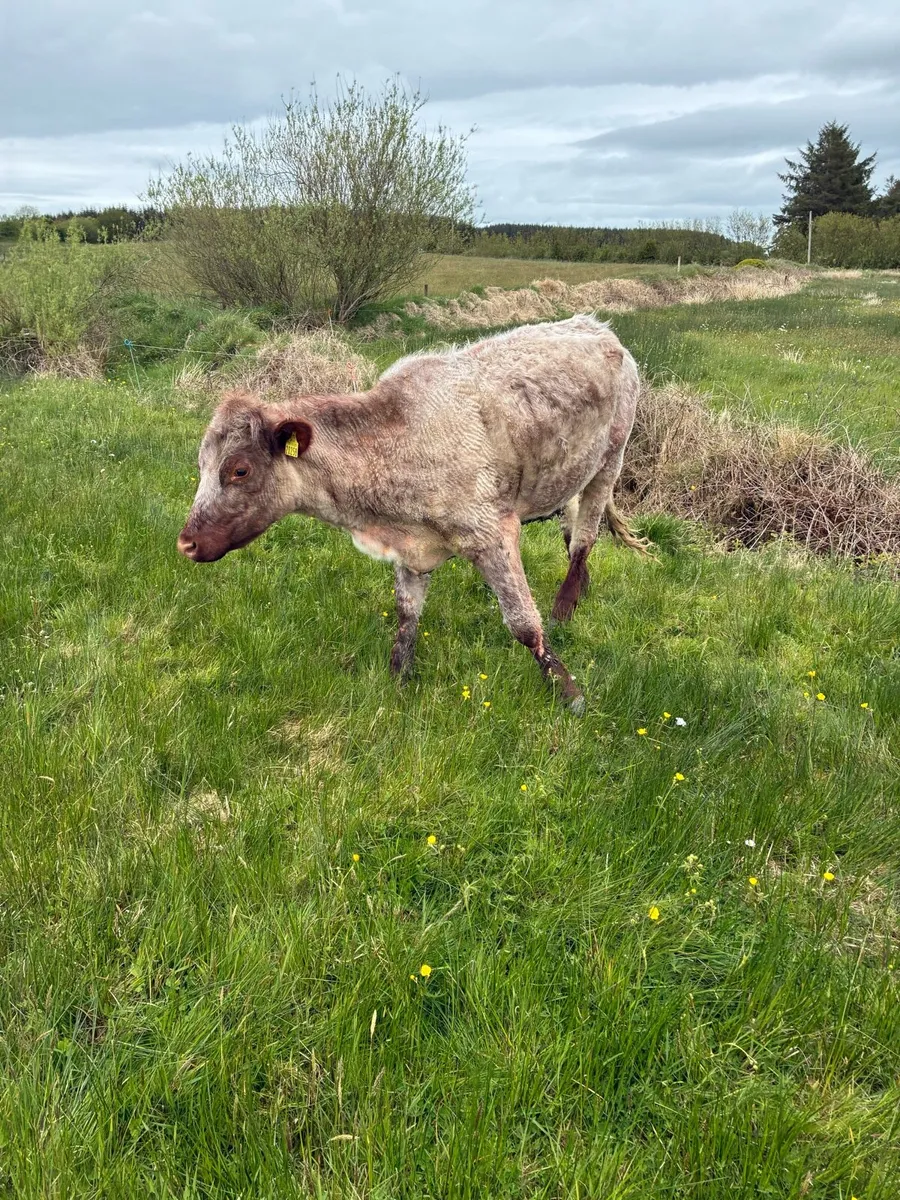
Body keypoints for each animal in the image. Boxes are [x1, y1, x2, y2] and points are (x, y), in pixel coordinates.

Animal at [177, 315, 649, 712]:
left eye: (239, 470)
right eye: (201, 465)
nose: (186, 543)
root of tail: (597, 327)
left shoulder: (492, 532)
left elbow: (523, 624)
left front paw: (568, 691)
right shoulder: (412, 549)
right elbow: (407, 616)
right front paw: (398, 680)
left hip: (610, 461)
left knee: (586, 536)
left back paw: (565, 604)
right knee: (572, 525)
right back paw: (580, 588)